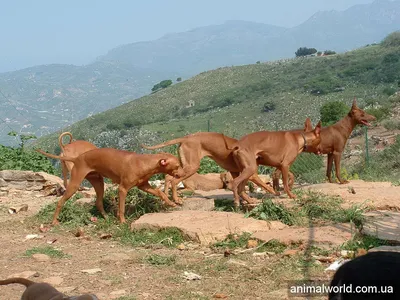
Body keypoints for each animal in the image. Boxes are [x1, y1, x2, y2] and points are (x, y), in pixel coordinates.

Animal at [36, 148, 184, 223]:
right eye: (177, 166)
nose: (183, 173)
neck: (145, 162)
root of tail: (76, 158)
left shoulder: (143, 186)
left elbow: (160, 192)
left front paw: (171, 202)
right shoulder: (123, 189)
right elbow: (122, 208)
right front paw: (123, 222)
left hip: (98, 182)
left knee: (98, 202)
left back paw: (106, 217)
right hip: (74, 185)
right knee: (60, 202)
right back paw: (54, 221)